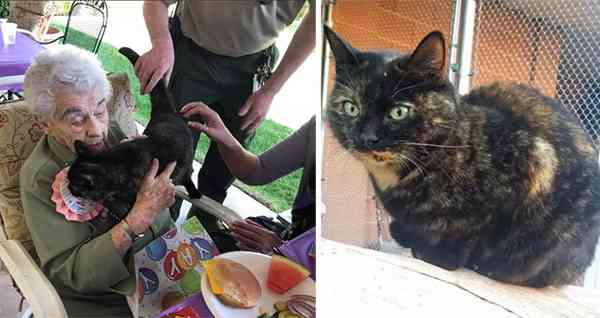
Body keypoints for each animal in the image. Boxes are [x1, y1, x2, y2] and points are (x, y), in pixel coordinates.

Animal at [67, 46, 200, 221]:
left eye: (75, 187)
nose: (68, 186)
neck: (116, 163)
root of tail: (166, 113)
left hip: (186, 162)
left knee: (188, 175)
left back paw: (194, 193)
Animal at [328, 26, 600, 286]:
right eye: (351, 107)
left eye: (399, 112)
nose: (367, 138)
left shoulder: (536, 159)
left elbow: (471, 229)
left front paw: (440, 256)